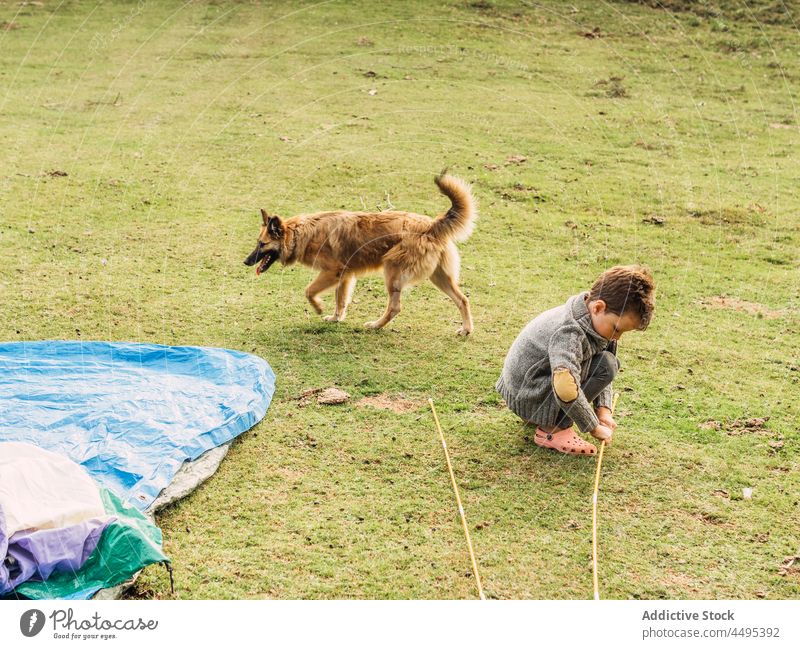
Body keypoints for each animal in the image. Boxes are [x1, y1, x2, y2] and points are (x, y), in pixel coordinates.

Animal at [244, 172, 476, 334]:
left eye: (262, 244)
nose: (246, 261)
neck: (301, 233)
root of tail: (432, 225)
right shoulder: (345, 275)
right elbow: (340, 300)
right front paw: (336, 318)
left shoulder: (332, 272)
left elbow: (309, 291)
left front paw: (318, 308)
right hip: (439, 277)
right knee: (463, 299)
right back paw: (466, 329)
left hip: (392, 273)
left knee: (395, 308)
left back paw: (375, 325)